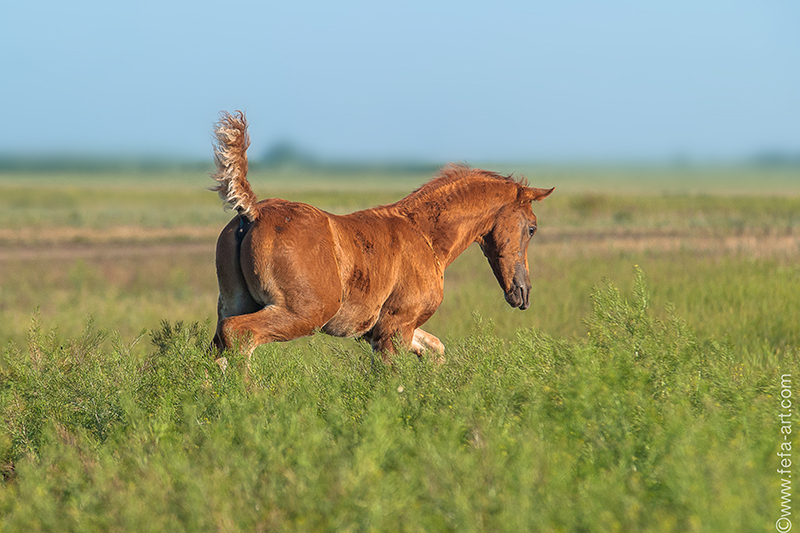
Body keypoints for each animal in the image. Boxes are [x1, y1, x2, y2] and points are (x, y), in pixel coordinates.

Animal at [209, 111, 552, 362]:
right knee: (239, 337)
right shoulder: (395, 328)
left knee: (219, 346)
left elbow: (435, 350)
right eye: (532, 228)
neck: (425, 236)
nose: (522, 293)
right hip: (301, 313)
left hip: (235, 303)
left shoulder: (393, 330)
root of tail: (252, 213)